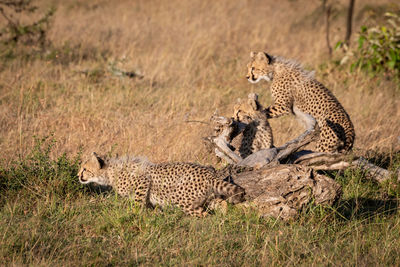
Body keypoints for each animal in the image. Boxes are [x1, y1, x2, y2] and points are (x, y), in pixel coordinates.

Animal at [76, 154, 242, 217]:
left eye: (85, 169)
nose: (78, 175)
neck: (109, 173)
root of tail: (208, 173)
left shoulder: (143, 181)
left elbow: (138, 201)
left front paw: (135, 214)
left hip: (181, 199)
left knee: (203, 214)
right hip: (206, 197)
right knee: (221, 204)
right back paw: (223, 219)